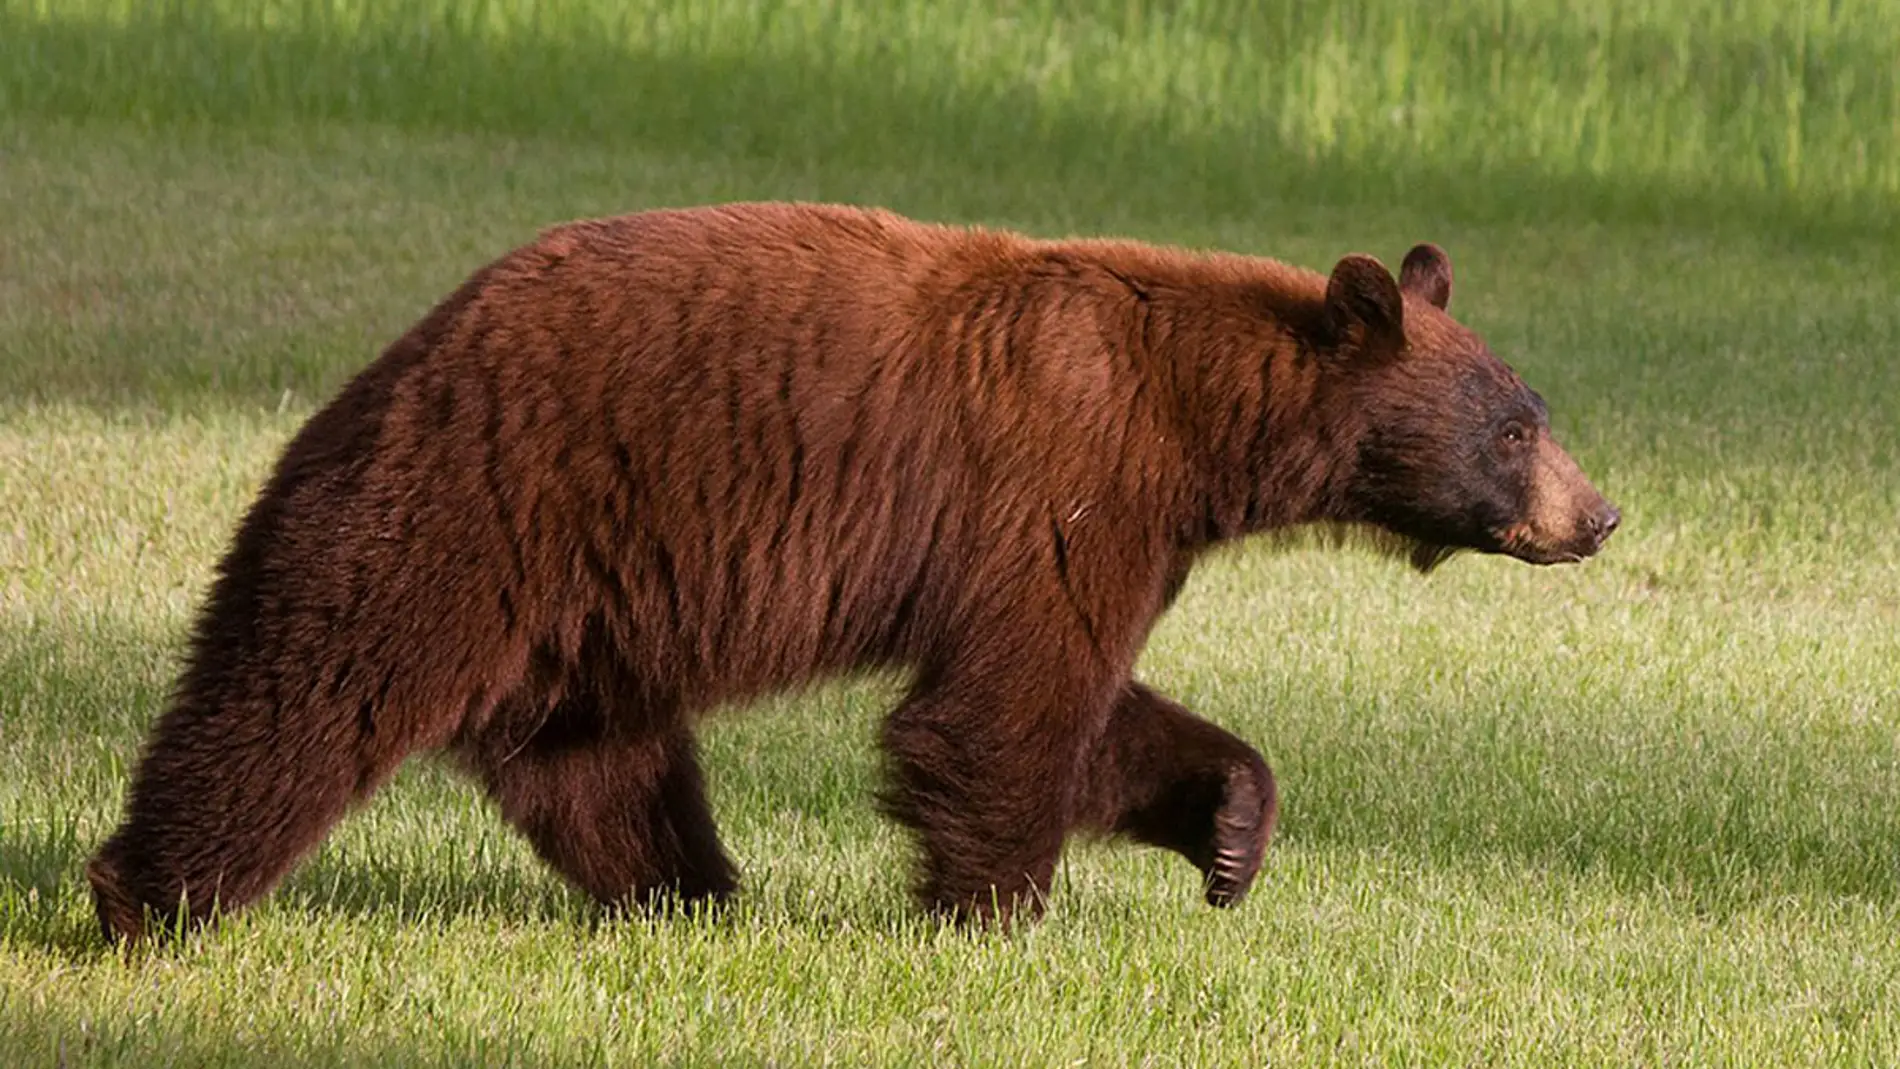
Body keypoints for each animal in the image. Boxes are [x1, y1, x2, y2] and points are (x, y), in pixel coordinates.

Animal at [77, 201, 1618, 945]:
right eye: (1515, 424)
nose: (1599, 515)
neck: (1197, 420)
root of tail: (388, 368)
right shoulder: (1065, 477)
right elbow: (1007, 703)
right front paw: (995, 915)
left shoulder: (1105, 526)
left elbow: (1087, 701)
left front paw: (1231, 828)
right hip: (461, 514)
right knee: (303, 696)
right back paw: (146, 899)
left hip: (590, 609)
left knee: (598, 762)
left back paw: (690, 896)